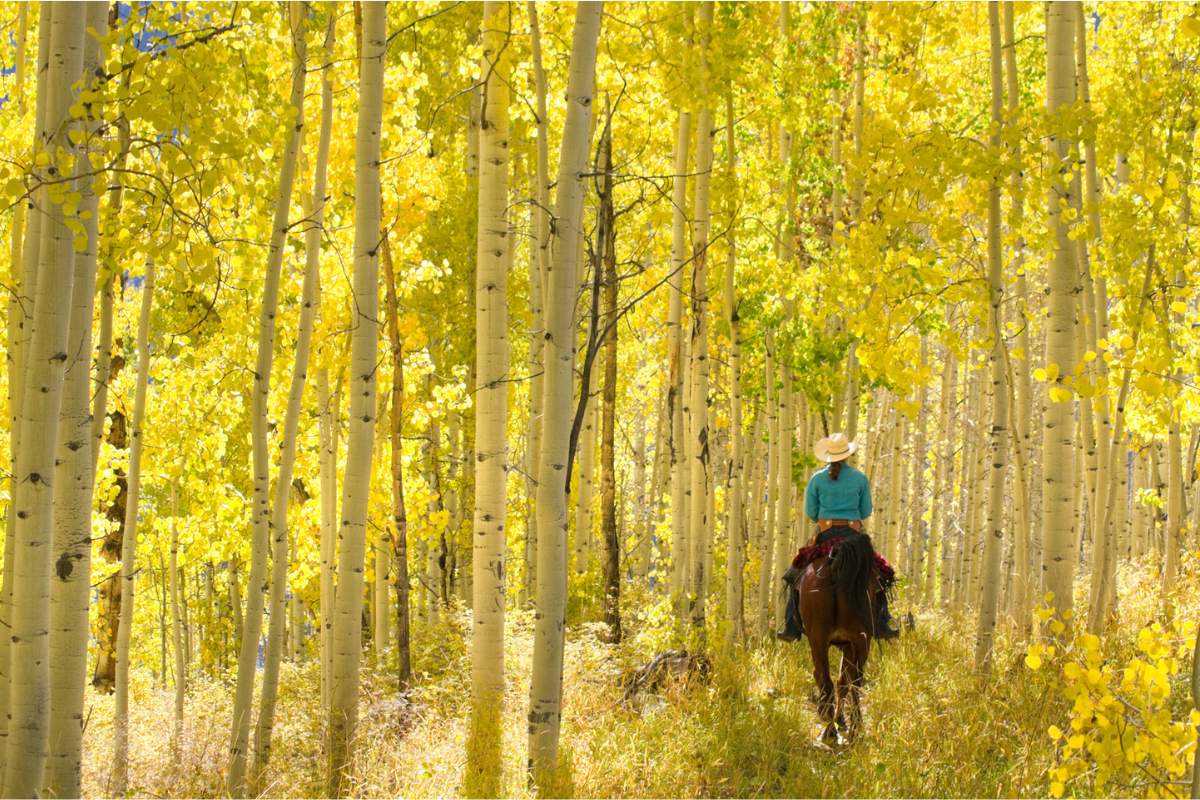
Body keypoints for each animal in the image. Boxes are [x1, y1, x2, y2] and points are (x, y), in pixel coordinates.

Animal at [796, 534, 883, 748]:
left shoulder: (843, 643)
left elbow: (837, 680)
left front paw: (836, 719)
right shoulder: (850, 643)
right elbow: (844, 681)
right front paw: (841, 720)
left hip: (820, 639)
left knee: (828, 681)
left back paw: (830, 732)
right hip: (860, 640)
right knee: (855, 682)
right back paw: (855, 730)